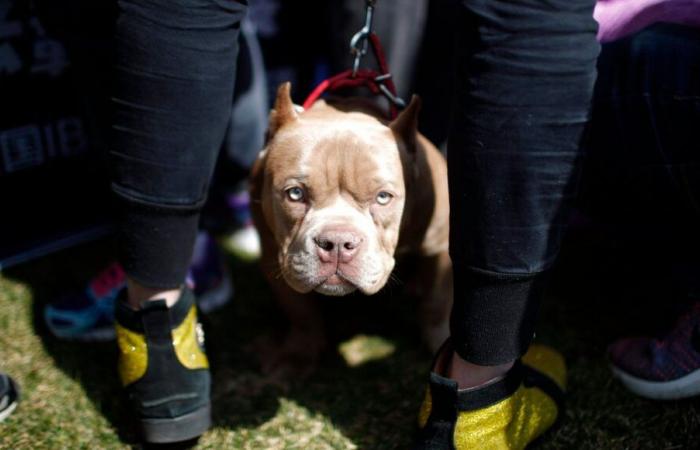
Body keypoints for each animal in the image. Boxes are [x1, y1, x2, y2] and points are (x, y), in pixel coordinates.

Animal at [249, 82, 452, 370]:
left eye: (383, 197)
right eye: (295, 194)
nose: (337, 243)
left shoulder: (440, 246)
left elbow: (436, 302)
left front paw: (438, 342)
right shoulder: (272, 255)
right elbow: (300, 311)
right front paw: (297, 355)